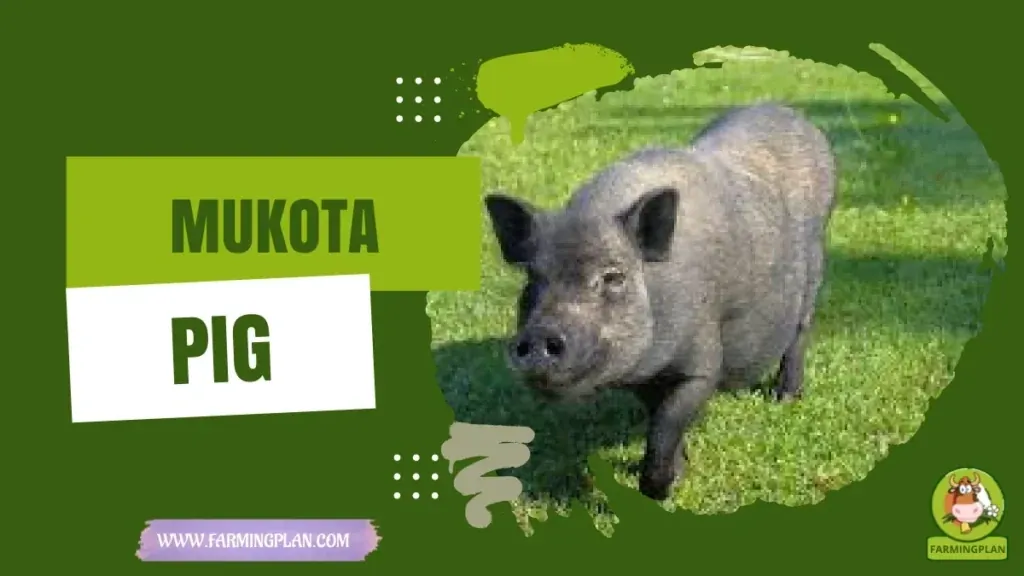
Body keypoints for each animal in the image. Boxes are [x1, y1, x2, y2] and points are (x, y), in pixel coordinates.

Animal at [483, 103, 837, 501]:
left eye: (613, 277)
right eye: (532, 277)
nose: (540, 335)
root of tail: (791, 113)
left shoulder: (702, 363)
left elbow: (668, 421)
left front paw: (658, 490)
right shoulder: (645, 376)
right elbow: (658, 419)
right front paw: (677, 473)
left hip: (815, 268)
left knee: (800, 333)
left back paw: (785, 398)